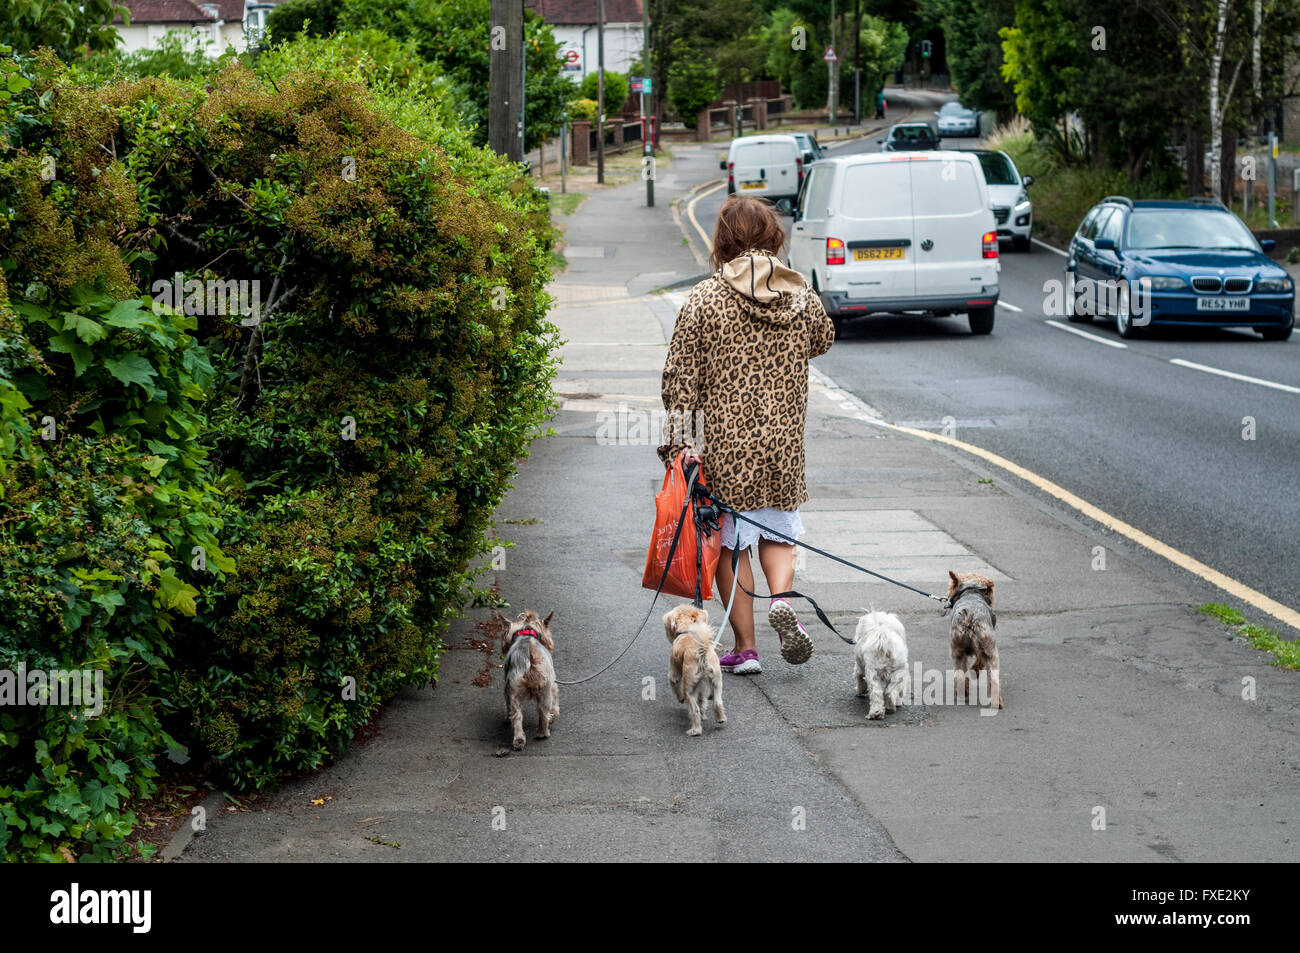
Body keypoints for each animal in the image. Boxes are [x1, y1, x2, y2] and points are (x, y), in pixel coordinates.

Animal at [665, 605, 728, 733]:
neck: (687, 630)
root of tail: (702, 653)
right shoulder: (703, 687)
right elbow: (702, 700)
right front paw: (704, 715)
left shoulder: (674, 674)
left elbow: (675, 684)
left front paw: (680, 699)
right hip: (717, 682)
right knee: (717, 702)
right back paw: (720, 718)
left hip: (689, 689)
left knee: (694, 709)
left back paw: (695, 730)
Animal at [946, 569, 1003, 712]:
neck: (971, 592)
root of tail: (969, 617)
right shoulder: (984, 651)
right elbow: (979, 663)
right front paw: (975, 671)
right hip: (991, 651)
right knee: (993, 679)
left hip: (957, 651)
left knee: (961, 675)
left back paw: (962, 693)